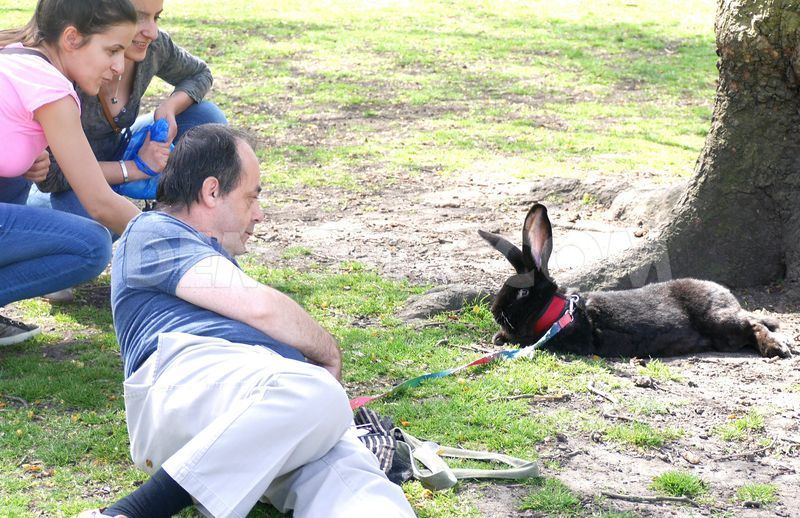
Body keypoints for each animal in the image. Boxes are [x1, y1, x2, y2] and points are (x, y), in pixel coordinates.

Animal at [482, 205, 792, 360]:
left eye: (522, 293)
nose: (494, 312)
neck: (558, 312)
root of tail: (727, 295)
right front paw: (499, 336)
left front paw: (502, 337)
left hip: (719, 320)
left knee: (754, 324)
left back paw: (777, 349)